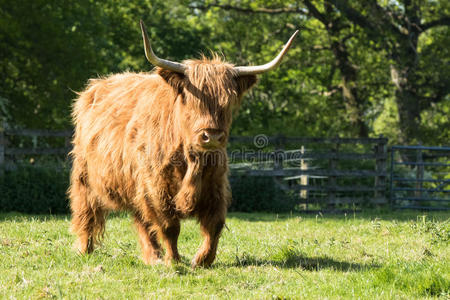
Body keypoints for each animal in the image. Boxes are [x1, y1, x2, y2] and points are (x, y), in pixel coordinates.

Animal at [68, 19, 298, 266]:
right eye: (192, 99)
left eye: (228, 102)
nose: (211, 136)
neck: (192, 161)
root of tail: (93, 87)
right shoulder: (156, 186)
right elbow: (169, 226)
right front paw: (174, 261)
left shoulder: (216, 186)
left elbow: (214, 224)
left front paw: (202, 260)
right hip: (85, 176)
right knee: (86, 212)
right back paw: (84, 249)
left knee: (141, 220)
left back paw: (153, 257)